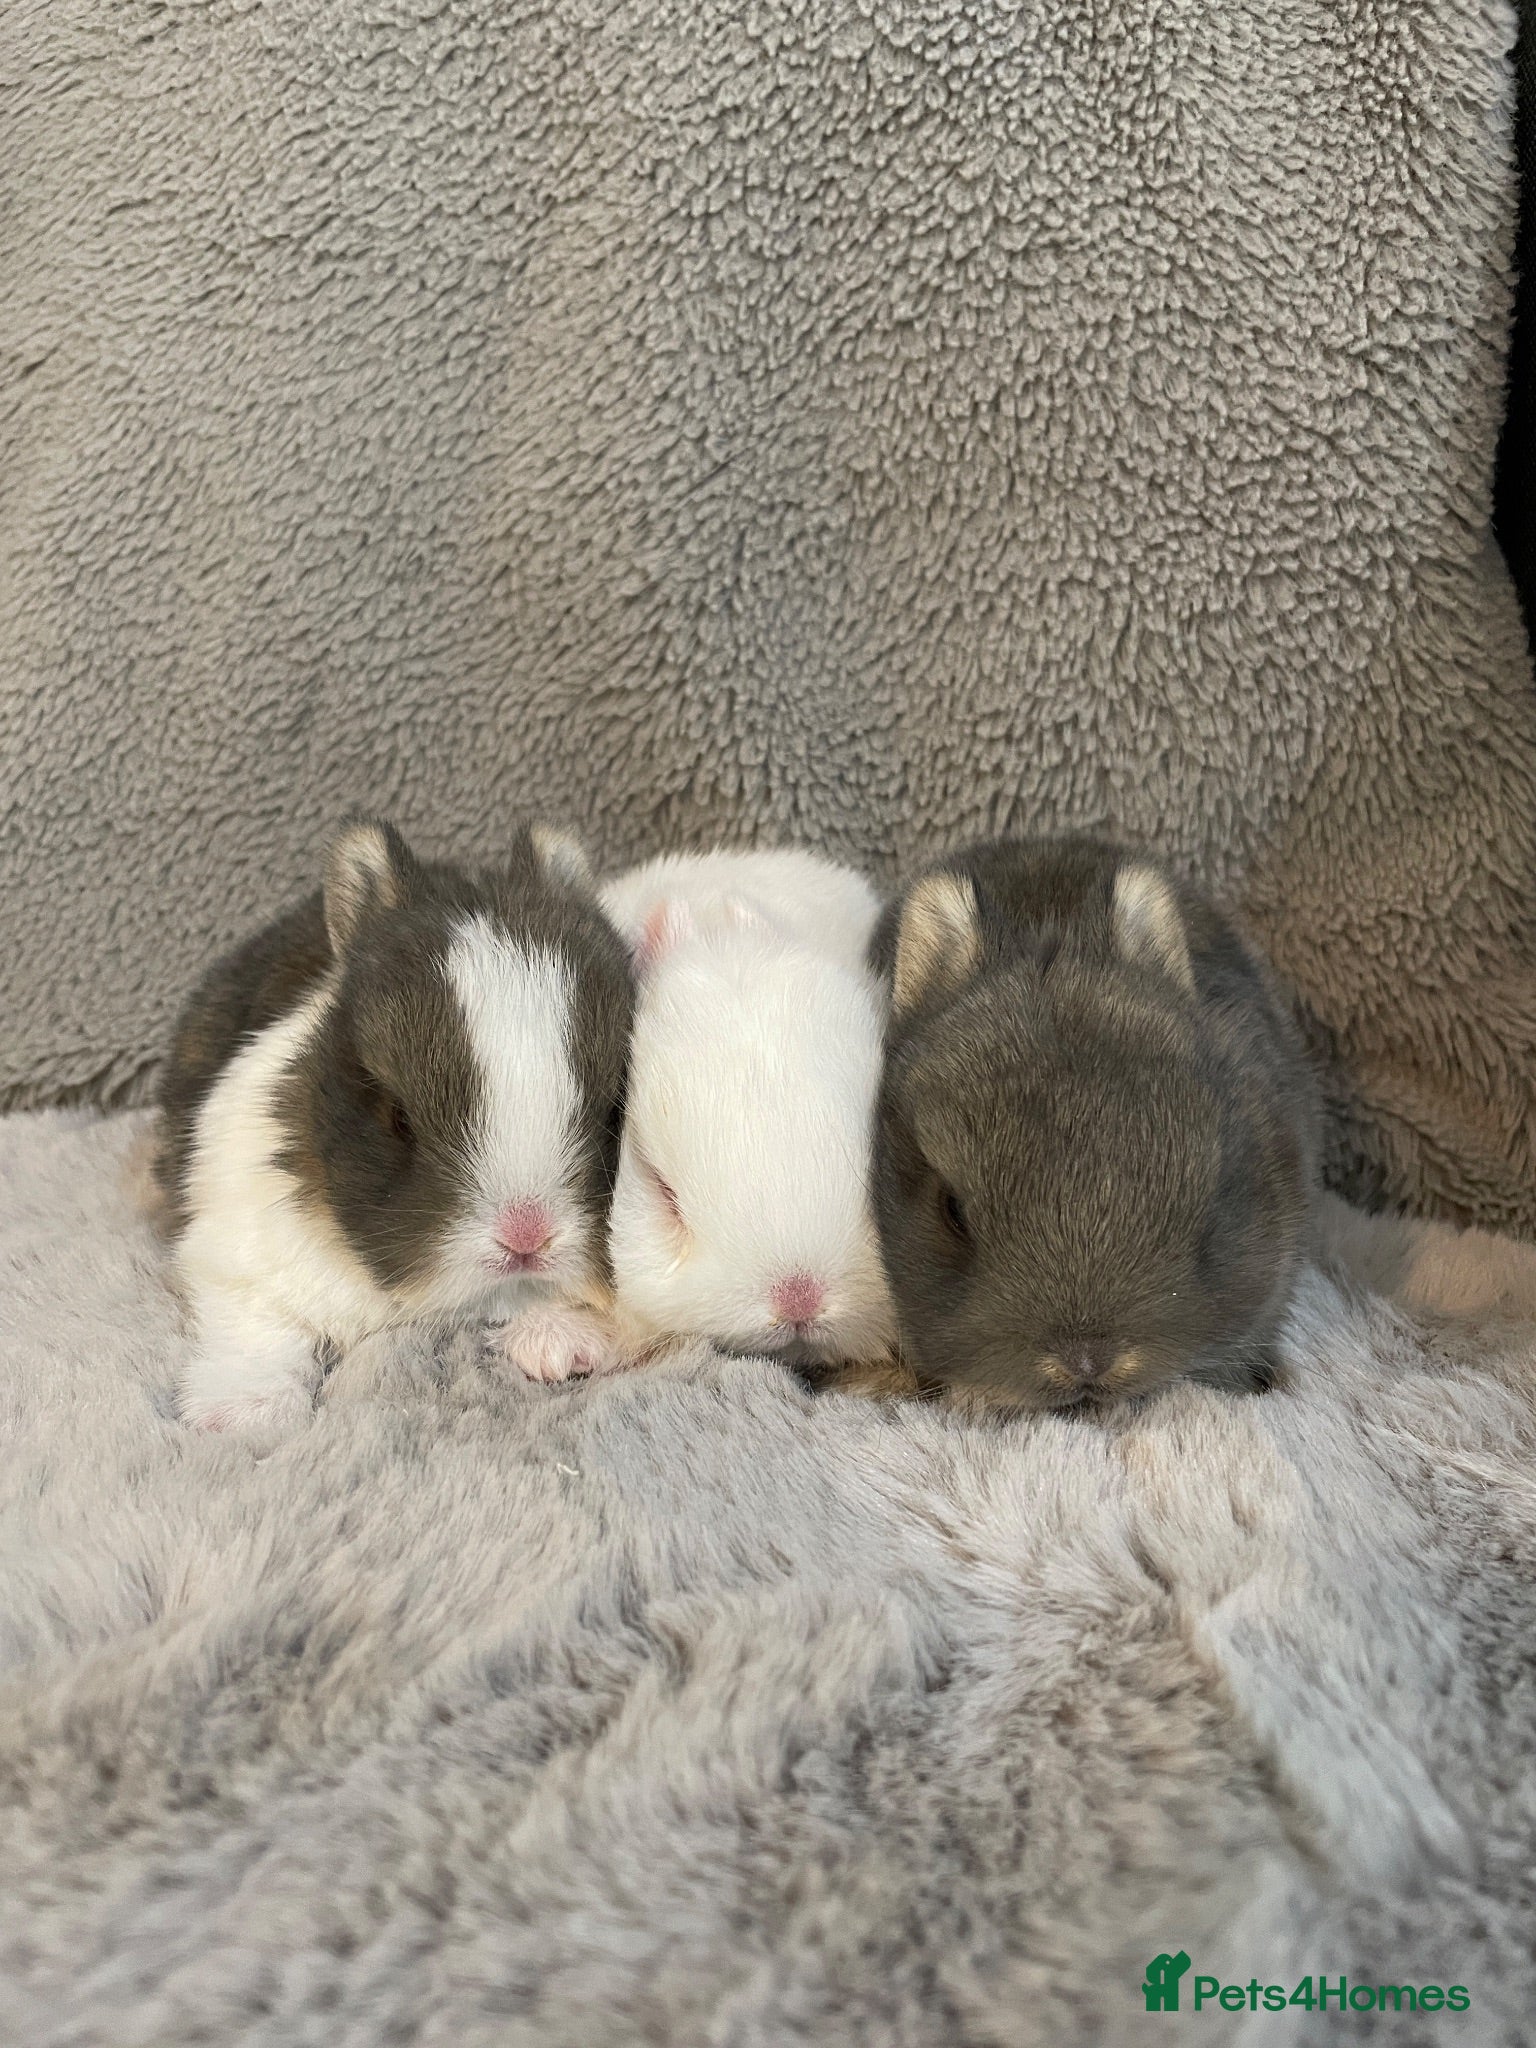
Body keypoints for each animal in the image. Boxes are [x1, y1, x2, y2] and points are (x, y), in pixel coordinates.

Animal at [155, 816, 633, 1432]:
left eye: (614, 1107)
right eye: (396, 1116)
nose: (526, 1236)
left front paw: (562, 1343)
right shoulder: (232, 1242)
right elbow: (260, 1329)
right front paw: (241, 1411)